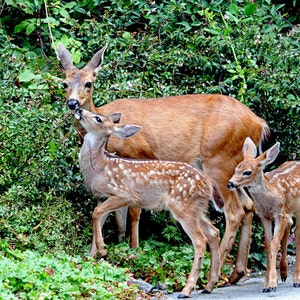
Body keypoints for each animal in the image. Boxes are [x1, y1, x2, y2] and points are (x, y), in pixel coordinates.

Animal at [74, 106, 221, 296]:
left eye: (98, 118)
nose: (78, 109)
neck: (98, 168)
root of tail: (208, 182)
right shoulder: (100, 198)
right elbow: (97, 219)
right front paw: (92, 258)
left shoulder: (125, 194)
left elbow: (96, 213)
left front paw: (102, 249)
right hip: (197, 208)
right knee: (214, 232)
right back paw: (209, 286)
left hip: (183, 205)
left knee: (200, 240)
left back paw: (186, 290)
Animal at [229, 137, 298, 292]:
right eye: (236, 168)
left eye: (247, 172)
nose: (230, 183)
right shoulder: (264, 216)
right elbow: (267, 245)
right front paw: (267, 283)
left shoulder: (279, 214)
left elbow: (274, 244)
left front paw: (272, 283)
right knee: (290, 228)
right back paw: (284, 273)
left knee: (297, 234)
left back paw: (296, 279)